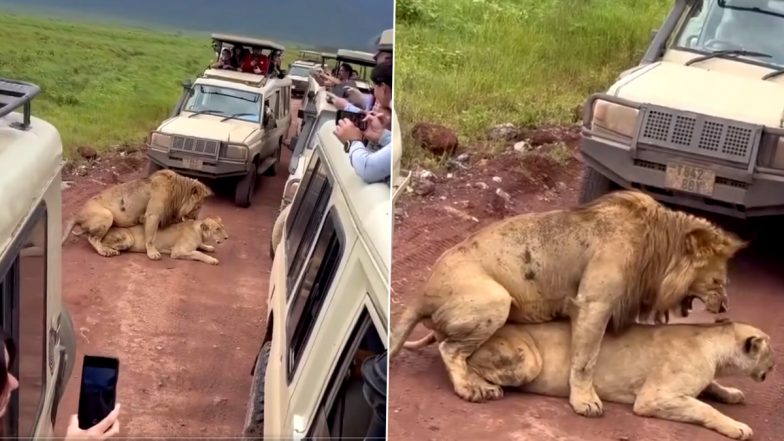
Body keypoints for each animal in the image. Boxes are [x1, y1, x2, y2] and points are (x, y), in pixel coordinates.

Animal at [62, 168, 213, 258]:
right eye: (198, 206)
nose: (196, 217)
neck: (178, 193)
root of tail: (77, 215)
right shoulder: (152, 215)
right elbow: (151, 237)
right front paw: (153, 253)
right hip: (107, 215)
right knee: (92, 238)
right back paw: (106, 251)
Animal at [388, 190, 744, 416]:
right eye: (717, 281)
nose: (725, 307)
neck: (657, 248)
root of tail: (421, 293)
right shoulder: (593, 304)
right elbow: (585, 360)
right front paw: (585, 402)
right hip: (496, 300)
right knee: (449, 349)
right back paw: (474, 389)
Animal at [408, 318, 776, 438]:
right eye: (771, 353)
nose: (772, 368)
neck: (715, 344)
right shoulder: (654, 397)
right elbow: (704, 408)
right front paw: (737, 427)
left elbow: (713, 389)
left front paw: (732, 392)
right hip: (528, 361)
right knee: (457, 354)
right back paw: (480, 388)